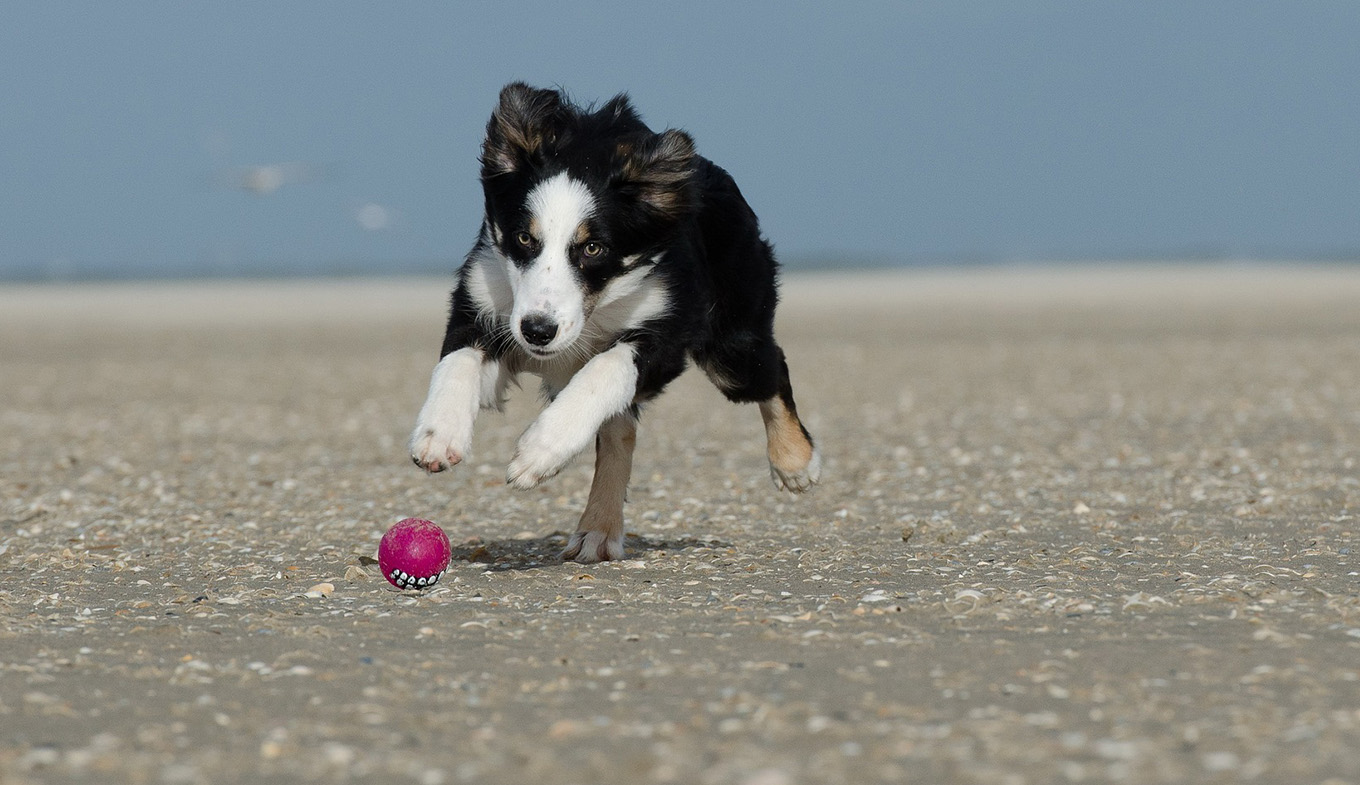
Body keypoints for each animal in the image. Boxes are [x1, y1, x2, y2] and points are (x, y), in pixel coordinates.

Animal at [408, 84, 821, 563]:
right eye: (524, 238)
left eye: (593, 248)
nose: (538, 331)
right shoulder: (486, 302)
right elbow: (457, 360)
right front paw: (438, 435)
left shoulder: (667, 331)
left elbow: (604, 370)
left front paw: (539, 452)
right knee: (620, 431)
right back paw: (599, 530)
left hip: (731, 346)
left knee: (771, 369)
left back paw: (795, 463)